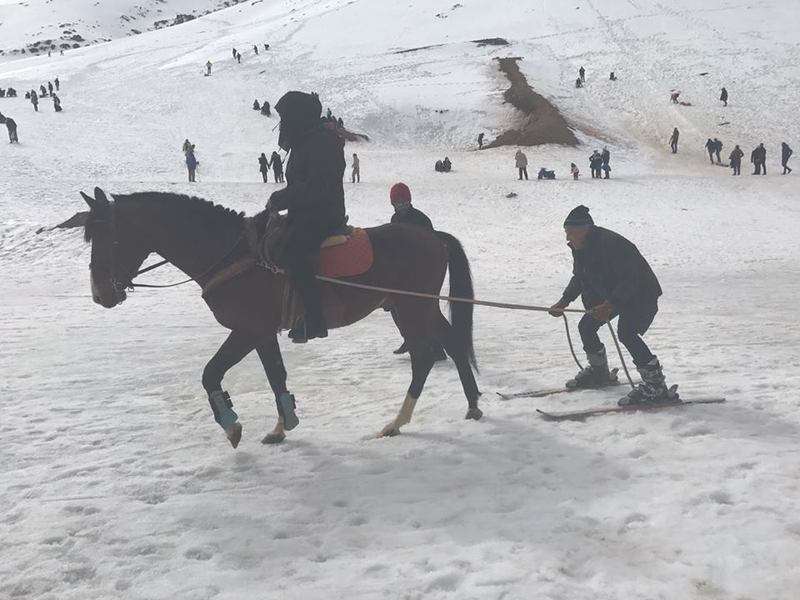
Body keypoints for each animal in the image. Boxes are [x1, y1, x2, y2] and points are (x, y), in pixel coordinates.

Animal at [81, 190, 482, 448]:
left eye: (110, 237)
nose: (100, 294)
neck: (235, 256)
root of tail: (432, 236)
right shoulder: (262, 334)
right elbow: (275, 376)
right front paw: (282, 424)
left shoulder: (247, 330)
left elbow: (211, 373)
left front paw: (231, 424)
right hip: (417, 307)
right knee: (451, 342)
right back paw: (472, 405)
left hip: (411, 308)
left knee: (424, 357)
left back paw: (398, 421)